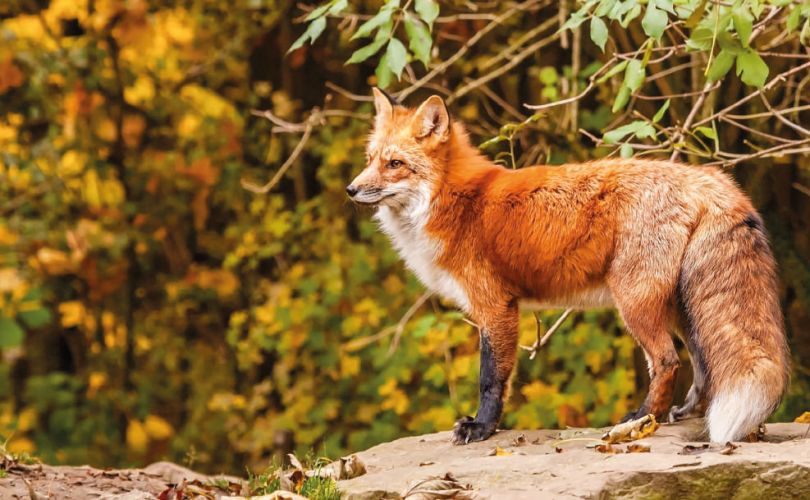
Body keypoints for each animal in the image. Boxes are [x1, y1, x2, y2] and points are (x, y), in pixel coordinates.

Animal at [348, 88, 788, 444]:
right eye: (370, 159)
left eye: (394, 164)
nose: (351, 189)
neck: (455, 202)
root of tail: (709, 177)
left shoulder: (496, 307)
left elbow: (491, 378)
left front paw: (481, 427)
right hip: (682, 306)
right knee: (702, 364)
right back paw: (682, 413)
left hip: (635, 301)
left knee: (668, 362)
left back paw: (642, 419)